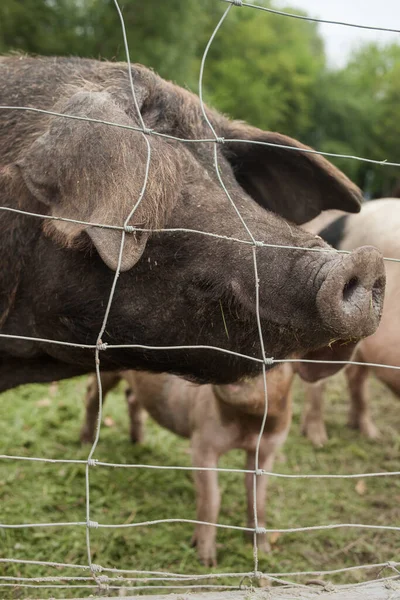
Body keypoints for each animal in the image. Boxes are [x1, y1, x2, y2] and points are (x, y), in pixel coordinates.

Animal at [81, 366, 294, 568]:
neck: (248, 424)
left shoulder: (269, 448)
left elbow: (257, 495)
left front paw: (265, 552)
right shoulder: (202, 442)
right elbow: (211, 498)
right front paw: (208, 563)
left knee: (130, 396)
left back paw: (139, 442)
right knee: (93, 393)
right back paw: (85, 442)